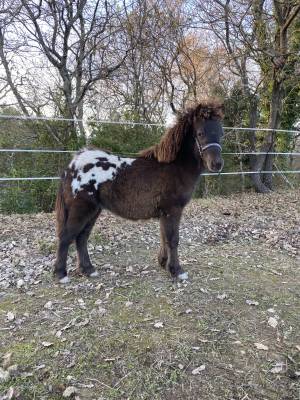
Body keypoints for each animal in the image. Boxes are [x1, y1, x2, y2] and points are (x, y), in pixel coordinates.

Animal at [54, 103, 224, 284]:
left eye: (221, 133)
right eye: (200, 133)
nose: (217, 164)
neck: (175, 167)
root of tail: (72, 166)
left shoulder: (164, 213)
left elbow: (163, 236)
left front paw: (164, 263)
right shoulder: (173, 210)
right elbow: (172, 239)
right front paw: (177, 271)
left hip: (94, 211)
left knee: (82, 238)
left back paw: (88, 270)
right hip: (81, 210)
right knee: (66, 237)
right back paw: (61, 274)